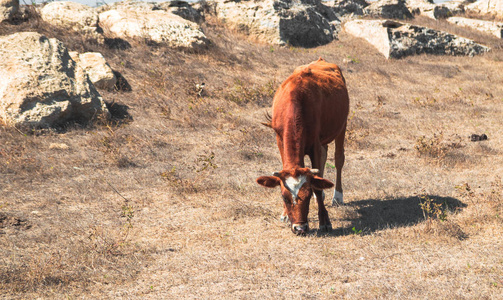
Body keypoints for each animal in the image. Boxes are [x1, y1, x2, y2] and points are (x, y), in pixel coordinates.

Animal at [256, 57, 350, 233]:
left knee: (338, 159)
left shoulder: (314, 143)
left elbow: (318, 185)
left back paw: (338, 196)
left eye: (306, 196)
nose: (299, 228)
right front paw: (285, 214)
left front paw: (324, 220)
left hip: (342, 125)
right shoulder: (280, 139)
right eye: (284, 197)